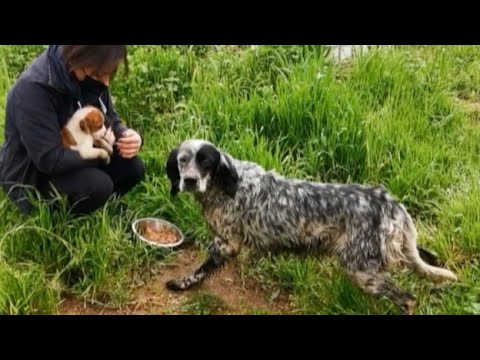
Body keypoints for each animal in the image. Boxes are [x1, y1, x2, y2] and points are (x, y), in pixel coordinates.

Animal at [166, 139, 458, 314]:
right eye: (183, 160)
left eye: (205, 161)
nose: (189, 180)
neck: (228, 185)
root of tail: (390, 203)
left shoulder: (226, 244)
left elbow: (199, 270)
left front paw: (181, 284)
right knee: (426, 259)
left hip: (363, 271)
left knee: (407, 299)